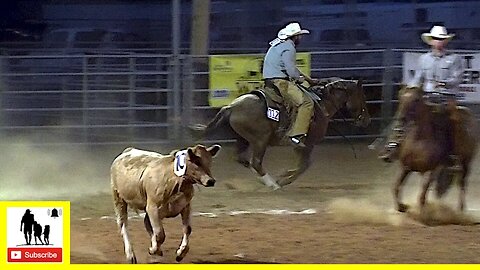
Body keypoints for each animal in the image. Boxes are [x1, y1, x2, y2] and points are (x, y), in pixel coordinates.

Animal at [189, 77, 370, 189]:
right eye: (362, 97)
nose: (366, 120)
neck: (323, 103)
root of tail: (231, 106)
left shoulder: (301, 146)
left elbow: (302, 164)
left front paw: (283, 176)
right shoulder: (307, 143)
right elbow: (304, 165)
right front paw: (283, 179)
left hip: (243, 138)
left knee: (241, 158)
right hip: (260, 140)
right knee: (255, 162)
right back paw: (272, 184)